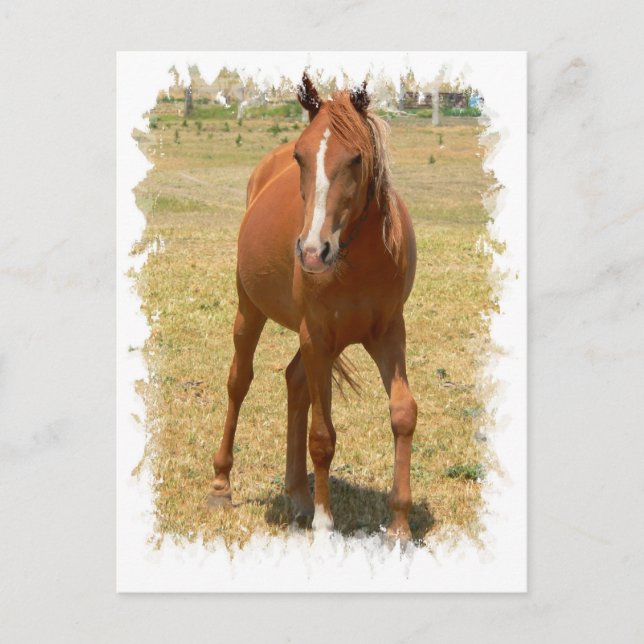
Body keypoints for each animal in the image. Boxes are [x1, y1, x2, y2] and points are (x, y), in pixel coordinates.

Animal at [209, 73, 418, 540]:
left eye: (356, 157)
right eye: (300, 156)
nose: (311, 252)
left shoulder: (388, 334)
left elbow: (403, 414)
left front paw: (398, 524)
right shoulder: (317, 336)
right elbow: (322, 437)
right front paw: (325, 523)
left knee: (295, 382)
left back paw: (298, 495)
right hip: (252, 312)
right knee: (239, 383)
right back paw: (221, 485)